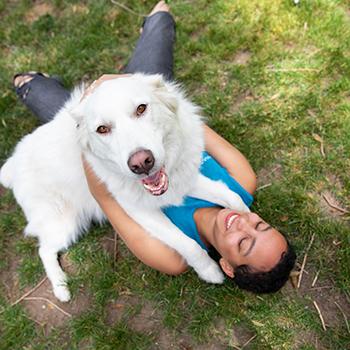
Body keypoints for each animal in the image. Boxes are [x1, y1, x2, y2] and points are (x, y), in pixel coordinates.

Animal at [1, 74, 250, 300]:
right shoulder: (141, 212)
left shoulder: (184, 182)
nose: (141, 163)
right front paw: (209, 271)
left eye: (141, 109)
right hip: (64, 223)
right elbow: (188, 244)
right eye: (102, 129)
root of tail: (13, 162)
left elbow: (233, 198)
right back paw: (61, 288)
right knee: (44, 251)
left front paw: (249, 221)